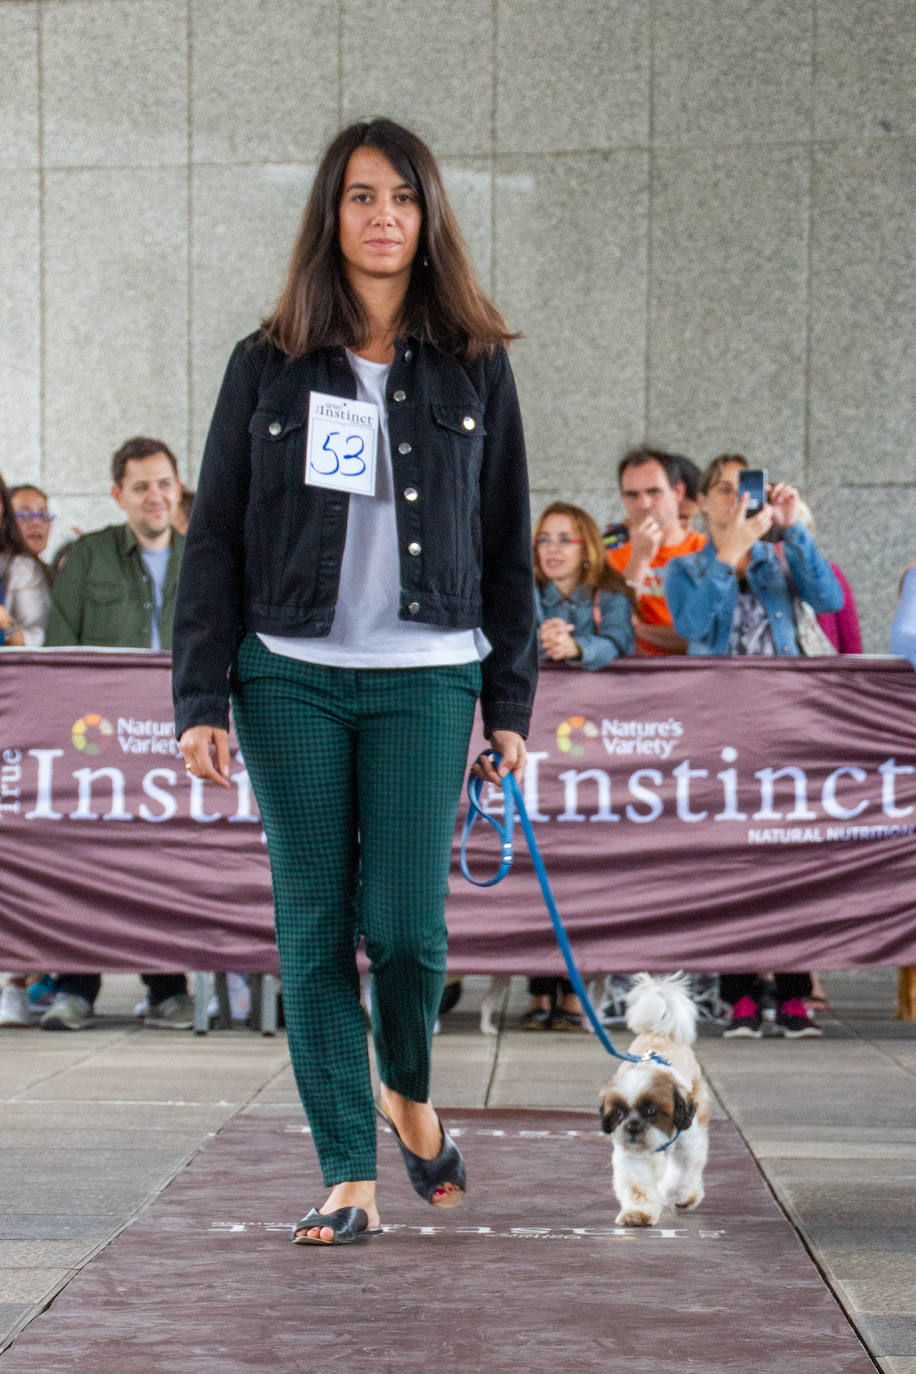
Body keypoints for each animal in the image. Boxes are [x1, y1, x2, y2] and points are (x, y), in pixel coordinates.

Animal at [601, 972, 708, 1231]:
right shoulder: (632, 1156)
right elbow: (638, 1186)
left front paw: (678, 1195)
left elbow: (683, 1175)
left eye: (650, 1110)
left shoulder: (688, 1145)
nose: (632, 1127)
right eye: (619, 1113)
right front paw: (638, 1213)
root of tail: (658, 1033)